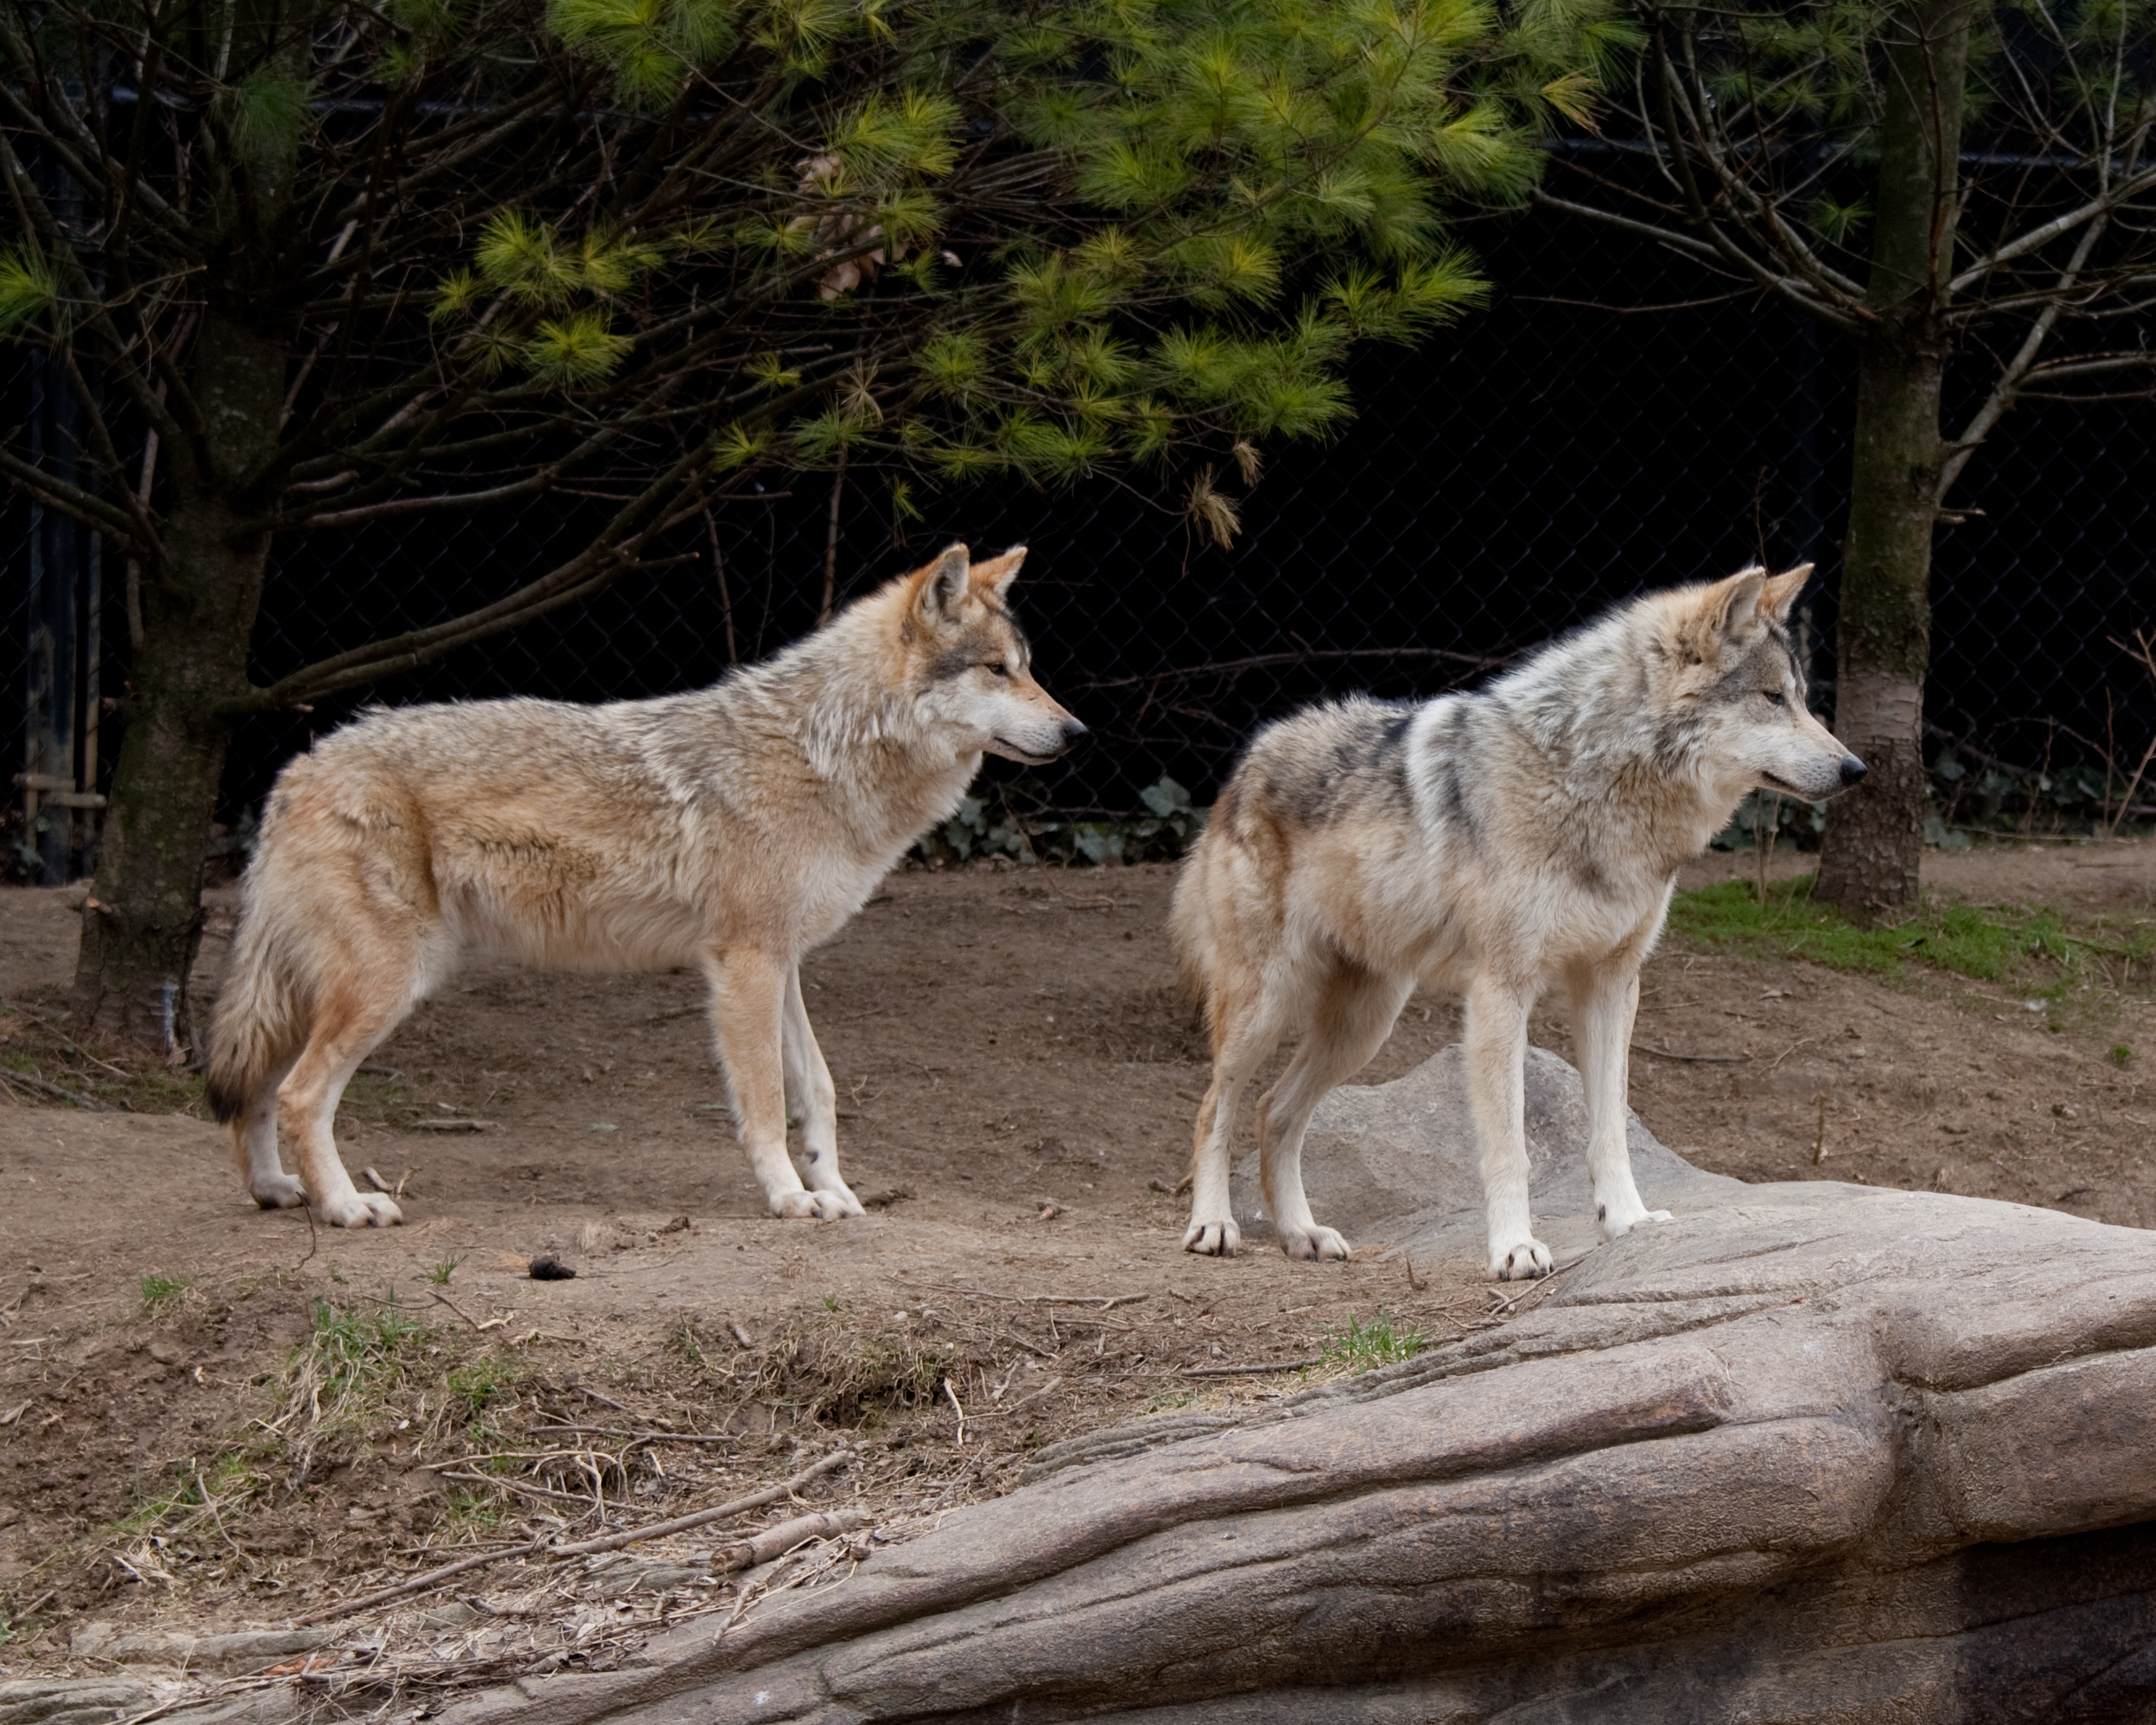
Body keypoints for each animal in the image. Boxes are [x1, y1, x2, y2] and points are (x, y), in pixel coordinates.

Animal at [203, 539, 1086, 1224]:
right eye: (998, 670)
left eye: (1029, 669)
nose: (1078, 732)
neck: (824, 754)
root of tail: (296, 770)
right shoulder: (744, 964)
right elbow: (764, 1100)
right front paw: (789, 1197)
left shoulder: (784, 963)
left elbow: (820, 1089)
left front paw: (833, 1189)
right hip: (387, 985)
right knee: (299, 1096)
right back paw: (345, 1206)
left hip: (325, 989)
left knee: (255, 1090)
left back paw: (276, 1190)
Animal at [1172, 565, 1862, 1276]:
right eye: (1772, 698)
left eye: (1800, 698)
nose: (1856, 769)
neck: (1592, 779)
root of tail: (1246, 760)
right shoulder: (1501, 990)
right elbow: (1511, 1145)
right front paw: (1514, 1247)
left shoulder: (1613, 985)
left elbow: (1610, 1127)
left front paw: (1629, 1221)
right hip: (1269, 1006)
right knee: (1213, 1109)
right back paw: (1214, 1225)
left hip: (1365, 1026)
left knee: (1272, 1112)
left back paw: (1301, 1234)